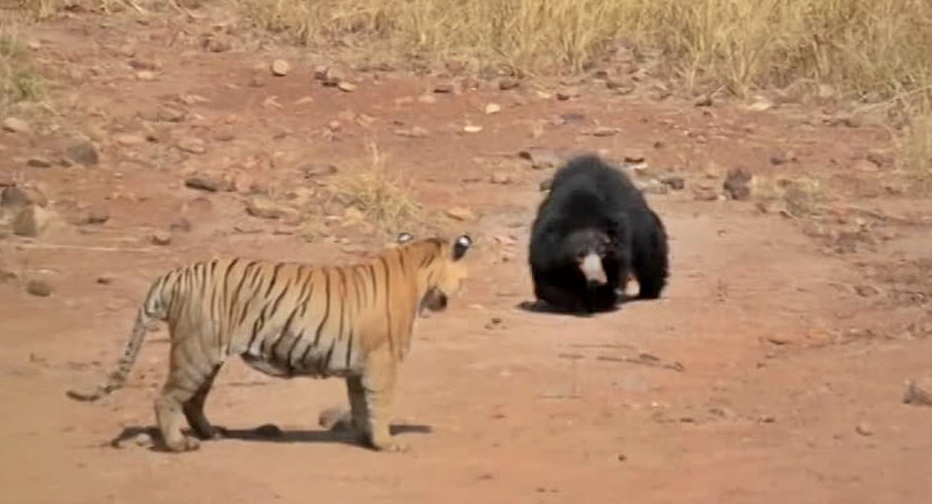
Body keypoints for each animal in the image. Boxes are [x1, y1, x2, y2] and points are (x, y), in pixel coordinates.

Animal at [66, 232, 474, 454]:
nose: (451, 296)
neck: (414, 267)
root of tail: (174, 273)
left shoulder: (358, 368)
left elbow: (360, 405)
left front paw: (365, 437)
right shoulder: (381, 363)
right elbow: (381, 404)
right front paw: (388, 443)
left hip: (207, 356)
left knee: (193, 400)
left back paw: (212, 433)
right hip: (194, 352)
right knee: (166, 398)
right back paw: (180, 444)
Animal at [527, 154, 669, 315]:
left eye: (603, 253)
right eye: (579, 255)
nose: (597, 279)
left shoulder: (619, 244)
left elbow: (616, 273)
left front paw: (601, 301)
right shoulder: (545, 248)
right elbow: (550, 278)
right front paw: (578, 304)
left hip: (642, 227)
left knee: (650, 258)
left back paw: (648, 293)